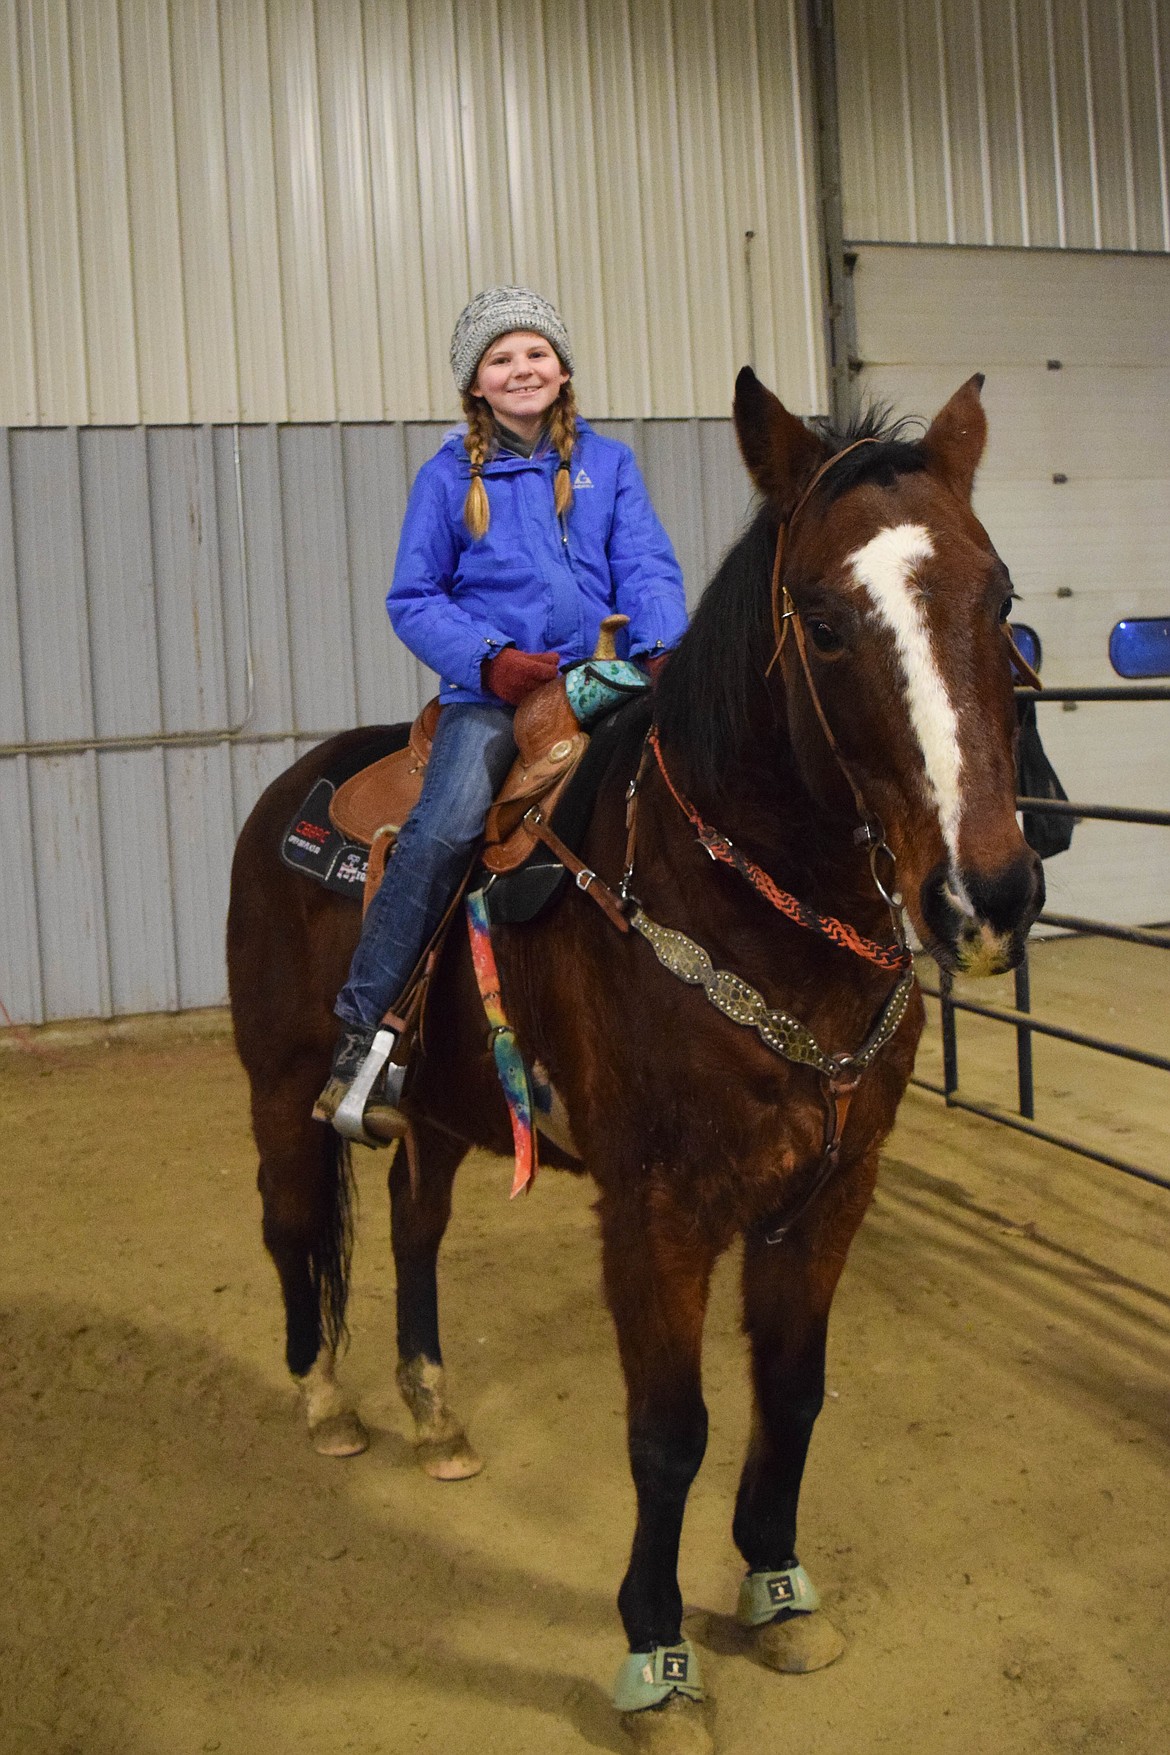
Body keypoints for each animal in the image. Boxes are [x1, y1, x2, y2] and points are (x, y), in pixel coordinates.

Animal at [227, 368, 1043, 1752]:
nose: (985, 896)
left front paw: (778, 1593)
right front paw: (658, 1662)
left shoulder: (830, 1193)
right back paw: (327, 1404)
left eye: (1000, 598)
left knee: (412, 1228)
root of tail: (296, 786)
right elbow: (670, 1433)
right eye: (828, 622)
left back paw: (434, 1412)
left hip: (440, 1114)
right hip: (283, 1088)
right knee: (297, 1224)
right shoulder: (659, 1211)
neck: (741, 906)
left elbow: (793, 1394)